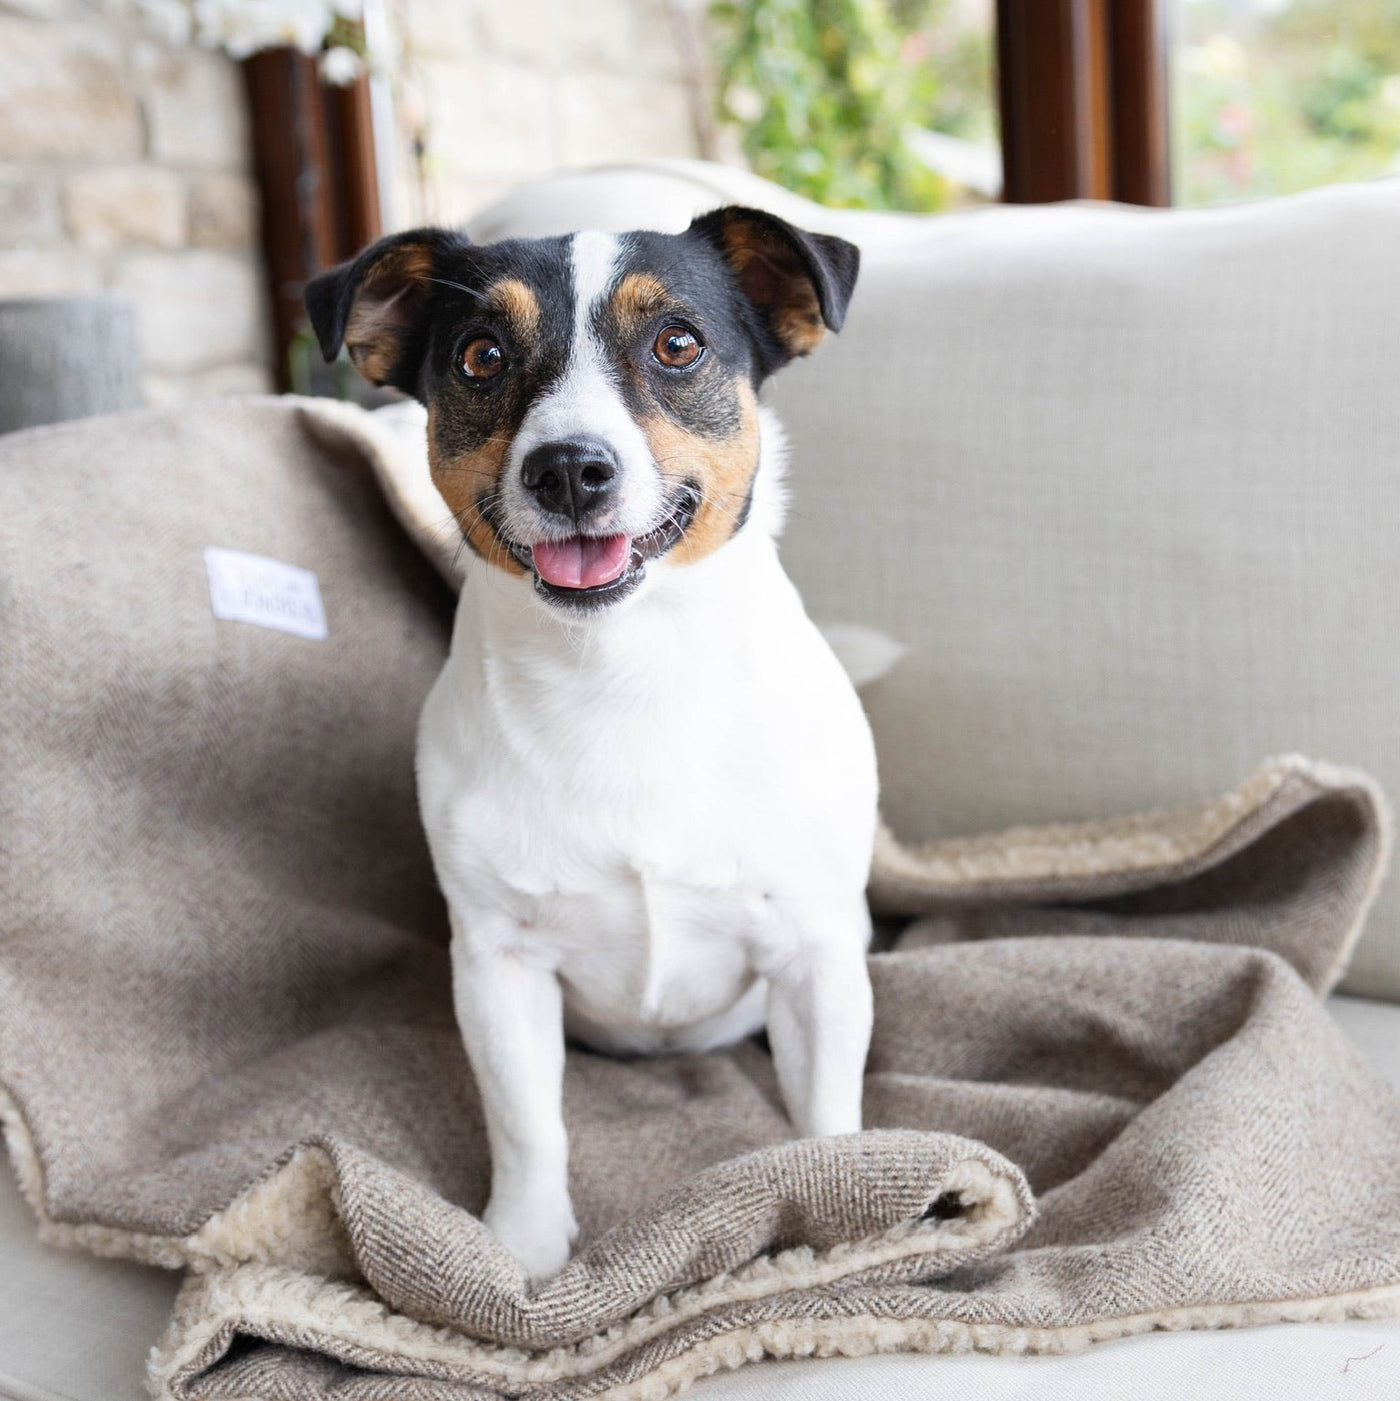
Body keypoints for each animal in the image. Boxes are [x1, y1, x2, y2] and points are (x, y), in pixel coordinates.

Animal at [306, 207, 874, 1283]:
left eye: (678, 345)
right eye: (481, 357)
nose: (569, 467)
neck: (620, 671)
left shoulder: (814, 955)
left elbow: (826, 1114)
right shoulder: (500, 965)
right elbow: (528, 1124)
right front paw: (521, 1255)